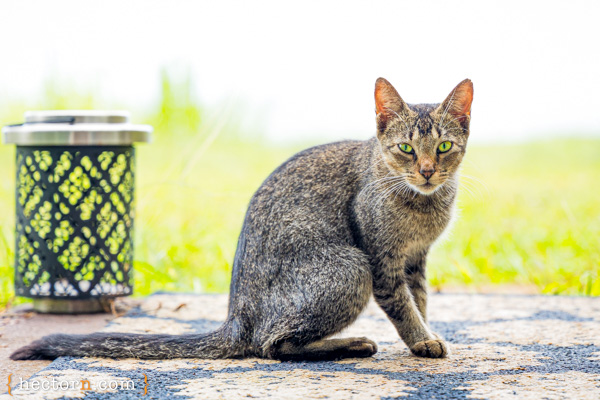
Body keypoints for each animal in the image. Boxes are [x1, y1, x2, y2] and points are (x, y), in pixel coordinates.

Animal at [10, 78, 474, 362]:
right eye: (406, 149)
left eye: (444, 147)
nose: (427, 170)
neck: (422, 207)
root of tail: (236, 317)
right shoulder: (381, 260)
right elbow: (403, 305)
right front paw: (422, 339)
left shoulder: (415, 260)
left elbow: (420, 300)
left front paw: (426, 333)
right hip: (350, 267)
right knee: (271, 345)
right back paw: (351, 344)